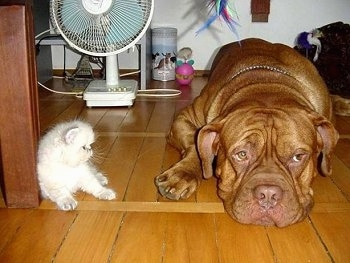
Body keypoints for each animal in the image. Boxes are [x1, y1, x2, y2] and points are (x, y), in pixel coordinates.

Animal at [155, 38, 340, 228]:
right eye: (241, 154)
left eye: (298, 157)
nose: (268, 194)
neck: (266, 85)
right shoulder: (184, 118)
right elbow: (195, 143)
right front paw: (183, 174)